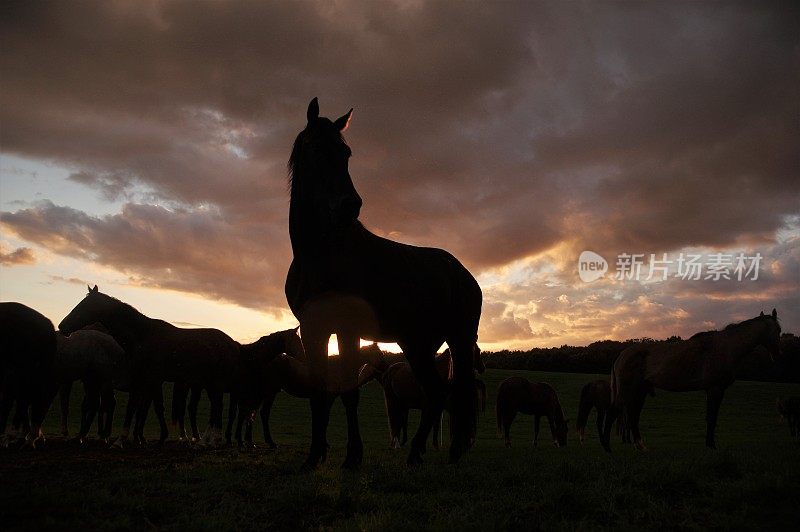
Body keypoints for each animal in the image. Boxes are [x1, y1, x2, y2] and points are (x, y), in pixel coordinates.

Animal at [58, 284, 241, 446]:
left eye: (83, 306)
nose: (62, 326)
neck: (142, 335)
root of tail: (231, 343)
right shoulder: (148, 381)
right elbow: (146, 408)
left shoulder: (144, 380)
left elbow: (134, 408)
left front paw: (120, 440)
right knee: (216, 407)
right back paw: (208, 441)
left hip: (213, 383)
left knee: (217, 407)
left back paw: (210, 440)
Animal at [284, 97, 482, 468]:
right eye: (316, 147)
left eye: (346, 152)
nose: (350, 205)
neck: (319, 255)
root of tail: (464, 275)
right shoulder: (314, 330)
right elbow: (319, 393)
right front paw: (313, 458)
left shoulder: (347, 329)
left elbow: (348, 393)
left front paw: (352, 459)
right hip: (417, 344)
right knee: (437, 393)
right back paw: (419, 454)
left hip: (460, 340)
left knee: (456, 394)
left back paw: (441, 454)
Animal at [600, 310, 780, 450]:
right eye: (777, 330)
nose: (777, 355)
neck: (725, 348)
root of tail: (621, 356)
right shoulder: (716, 389)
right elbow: (712, 418)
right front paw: (712, 446)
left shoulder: (711, 391)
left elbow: (710, 417)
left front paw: (709, 444)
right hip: (627, 391)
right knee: (613, 413)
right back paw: (607, 447)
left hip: (639, 392)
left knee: (633, 416)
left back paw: (640, 446)